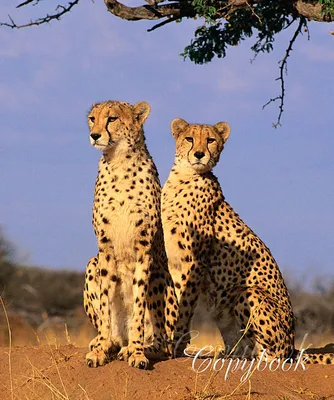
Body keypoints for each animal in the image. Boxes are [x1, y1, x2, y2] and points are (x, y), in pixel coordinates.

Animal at [83, 101, 177, 368]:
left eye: (112, 119)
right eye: (92, 118)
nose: (95, 135)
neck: (119, 163)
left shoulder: (144, 250)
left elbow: (138, 306)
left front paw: (136, 352)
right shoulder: (104, 249)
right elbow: (105, 304)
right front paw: (100, 350)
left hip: (160, 274)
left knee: (165, 345)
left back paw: (136, 348)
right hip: (92, 264)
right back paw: (109, 343)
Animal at [160, 117, 332, 364]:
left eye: (210, 140)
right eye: (189, 138)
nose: (200, 154)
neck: (184, 178)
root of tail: (291, 346)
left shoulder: (194, 262)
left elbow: (184, 304)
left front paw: (175, 344)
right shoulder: (172, 260)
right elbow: (171, 300)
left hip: (248, 294)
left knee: (271, 357)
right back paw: (228, 354)